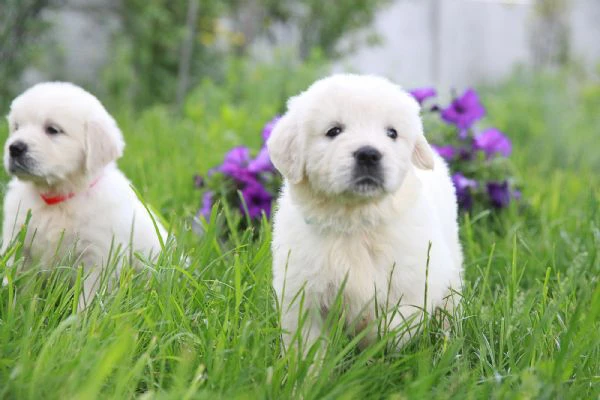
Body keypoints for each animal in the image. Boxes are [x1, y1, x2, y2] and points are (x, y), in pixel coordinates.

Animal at [2, 82, 166, 310]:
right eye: (16, 127)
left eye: (53, 130)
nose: (15, 147)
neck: (57, 197)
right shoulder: (17, 237)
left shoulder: (98, 257)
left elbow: (87, 298)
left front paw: (79, 319)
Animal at [268, 72, 464, 354]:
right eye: (334, 131)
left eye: (392, 133)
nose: (369, 154)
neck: (356, 219)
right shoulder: (302, 292)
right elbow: (307, 344)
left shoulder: (419, 282)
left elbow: (393, 326)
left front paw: (367, 336)